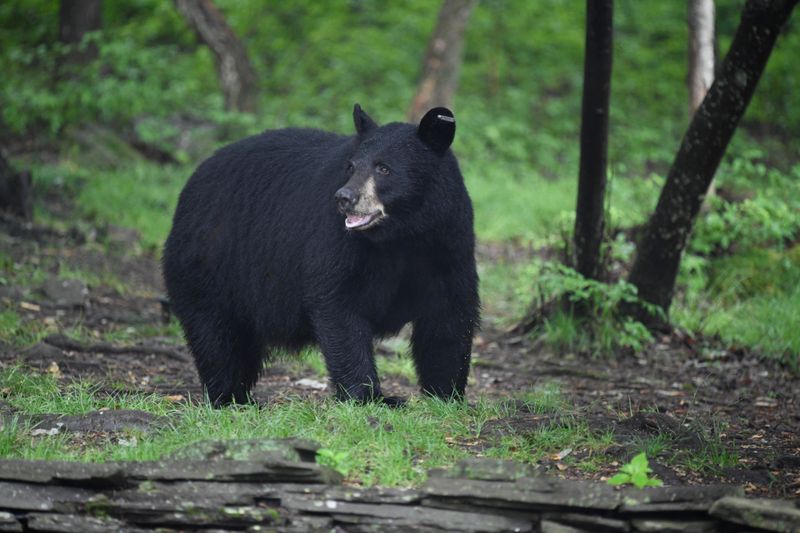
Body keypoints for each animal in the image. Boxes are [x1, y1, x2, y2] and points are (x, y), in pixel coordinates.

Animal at [160, 104, 478, 406]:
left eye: (384, 169)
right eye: (351, 166)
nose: (344, 198)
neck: (402, 235)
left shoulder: (448, 242)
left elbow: (448, 316)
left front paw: (446, 394)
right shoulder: (337, 240)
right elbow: (338, 302)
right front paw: (372, 397)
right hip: (209, 262)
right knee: (216, 337)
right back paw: (229, 397)